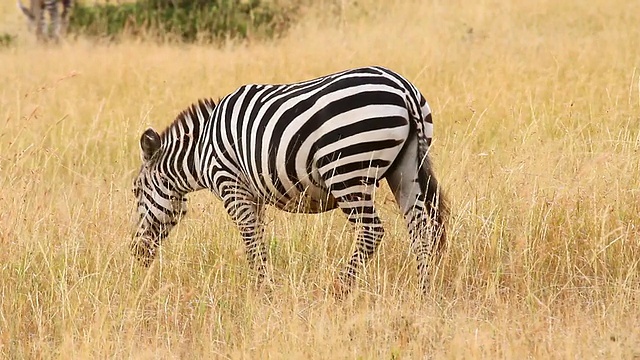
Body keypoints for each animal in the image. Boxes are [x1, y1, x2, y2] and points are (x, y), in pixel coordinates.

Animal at [131, 66, 450, 296]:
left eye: (136, 192)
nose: (135, 254)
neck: (200, 152)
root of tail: (404, 89)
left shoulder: (231, 184)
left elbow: (250, 238)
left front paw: (262, 291)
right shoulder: (252, 193)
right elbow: (257, 238)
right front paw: (261, 284)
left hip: (347, 171)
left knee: (372, 232)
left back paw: (339, 289)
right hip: (405, 169)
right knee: (421, 229)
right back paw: (424, 292)